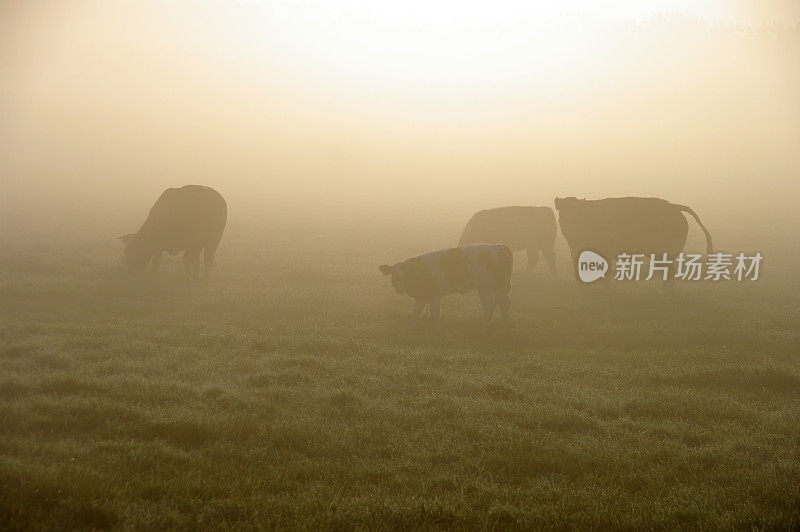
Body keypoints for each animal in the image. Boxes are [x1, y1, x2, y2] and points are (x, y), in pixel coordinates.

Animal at [380, 244, 512, 332]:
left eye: (407, 275)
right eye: (394, 275)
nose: (399, 288)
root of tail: (497, 246)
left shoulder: (435, 296)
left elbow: (435, 313)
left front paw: (436, 330)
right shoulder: (421, 297)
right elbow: (417, 313)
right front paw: (413, 328)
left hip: (485, 287)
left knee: (490, 305)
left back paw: (484, 329)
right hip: (498, 287)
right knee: (504, 302)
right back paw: (503, 326)